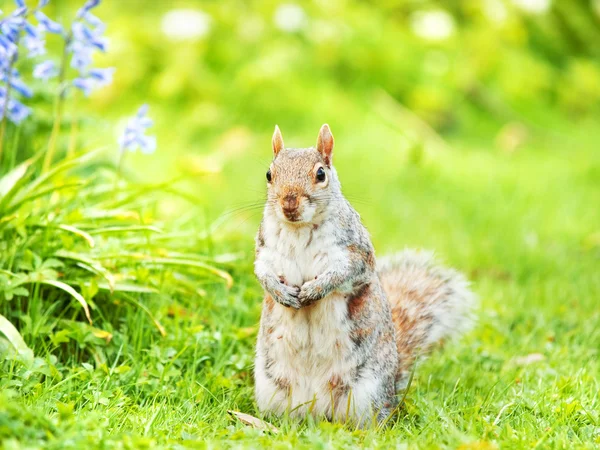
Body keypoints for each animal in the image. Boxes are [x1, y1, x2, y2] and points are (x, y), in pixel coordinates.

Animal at [252, 125, 474, 428]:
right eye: (269, 174)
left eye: (320, 174)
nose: (289, 203)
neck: (299, 228)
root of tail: (316, 409)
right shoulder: (266, 250)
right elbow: (261, 271)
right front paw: (278, 291)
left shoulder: (355, 253)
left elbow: (344, 272)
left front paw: (315, 290)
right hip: (273, 388)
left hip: (365, 393)